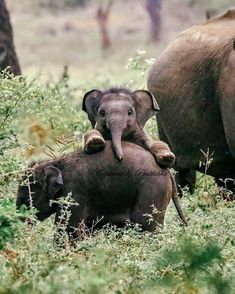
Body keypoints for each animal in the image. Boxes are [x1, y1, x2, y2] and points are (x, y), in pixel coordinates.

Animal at [16, 142, 186, 241]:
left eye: (26, 199)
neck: (56, 162)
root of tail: (167, 171)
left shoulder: (74, 192)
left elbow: (69, 228)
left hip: (152, 190)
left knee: (145, 227)